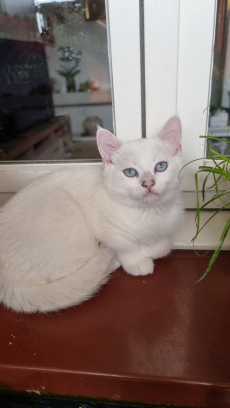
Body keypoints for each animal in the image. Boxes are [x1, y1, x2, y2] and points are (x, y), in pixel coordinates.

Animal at [0, 116, 183, 314]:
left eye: (161, 166)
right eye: (130, 172)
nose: (148, 183)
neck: (148, 212)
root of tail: (7, 283)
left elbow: (164, 245)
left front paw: (151, 248)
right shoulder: (108, 231)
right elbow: (127, 246)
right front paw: (138, 260)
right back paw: (111, 263)